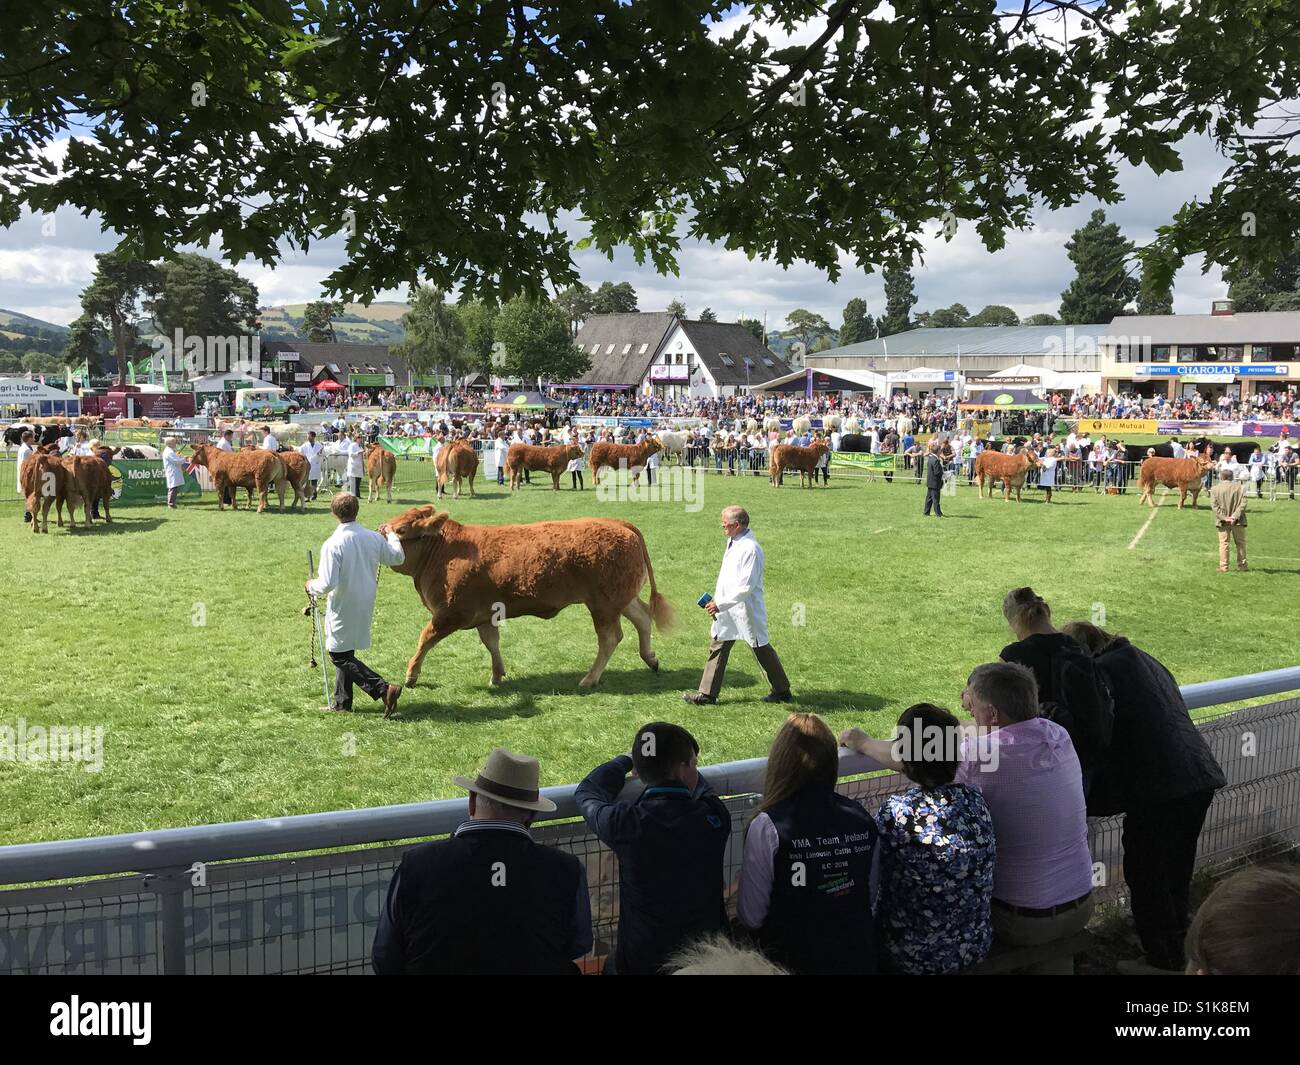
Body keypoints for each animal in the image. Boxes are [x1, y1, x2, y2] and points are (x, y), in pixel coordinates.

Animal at [379, 507, 676, 691]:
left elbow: (425, 638)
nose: (380, 530)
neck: (445, 551)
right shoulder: (484, 614)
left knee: (610, 637)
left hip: (603, 604)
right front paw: (497, 674)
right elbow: (491, 642)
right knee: (643, 618)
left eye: (401, 530)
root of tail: (617, 523)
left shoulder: (451, 613)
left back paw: (590, 679)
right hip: (621, 598)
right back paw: (650, 658)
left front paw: (411, 674)